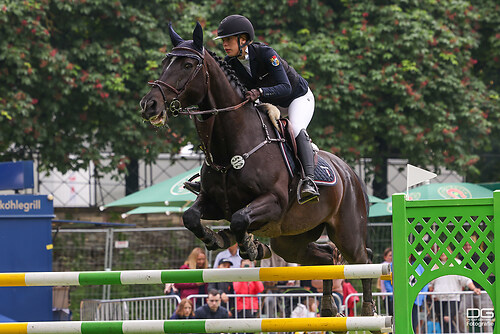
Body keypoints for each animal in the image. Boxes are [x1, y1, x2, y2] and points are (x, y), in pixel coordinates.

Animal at [141, 22, 376, 318]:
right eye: (164, 63)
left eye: (186, 65)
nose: (149, 105)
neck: (231, 146)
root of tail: (351, 174)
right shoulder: (214, 202)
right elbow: (192, 217)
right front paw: (220, 239)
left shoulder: (273, 203)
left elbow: (241, 218)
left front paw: (250, 246)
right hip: (291, 240)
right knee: (326, 257)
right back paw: (327, 309)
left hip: (347, 232)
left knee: (364, 259)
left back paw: (367, 311)